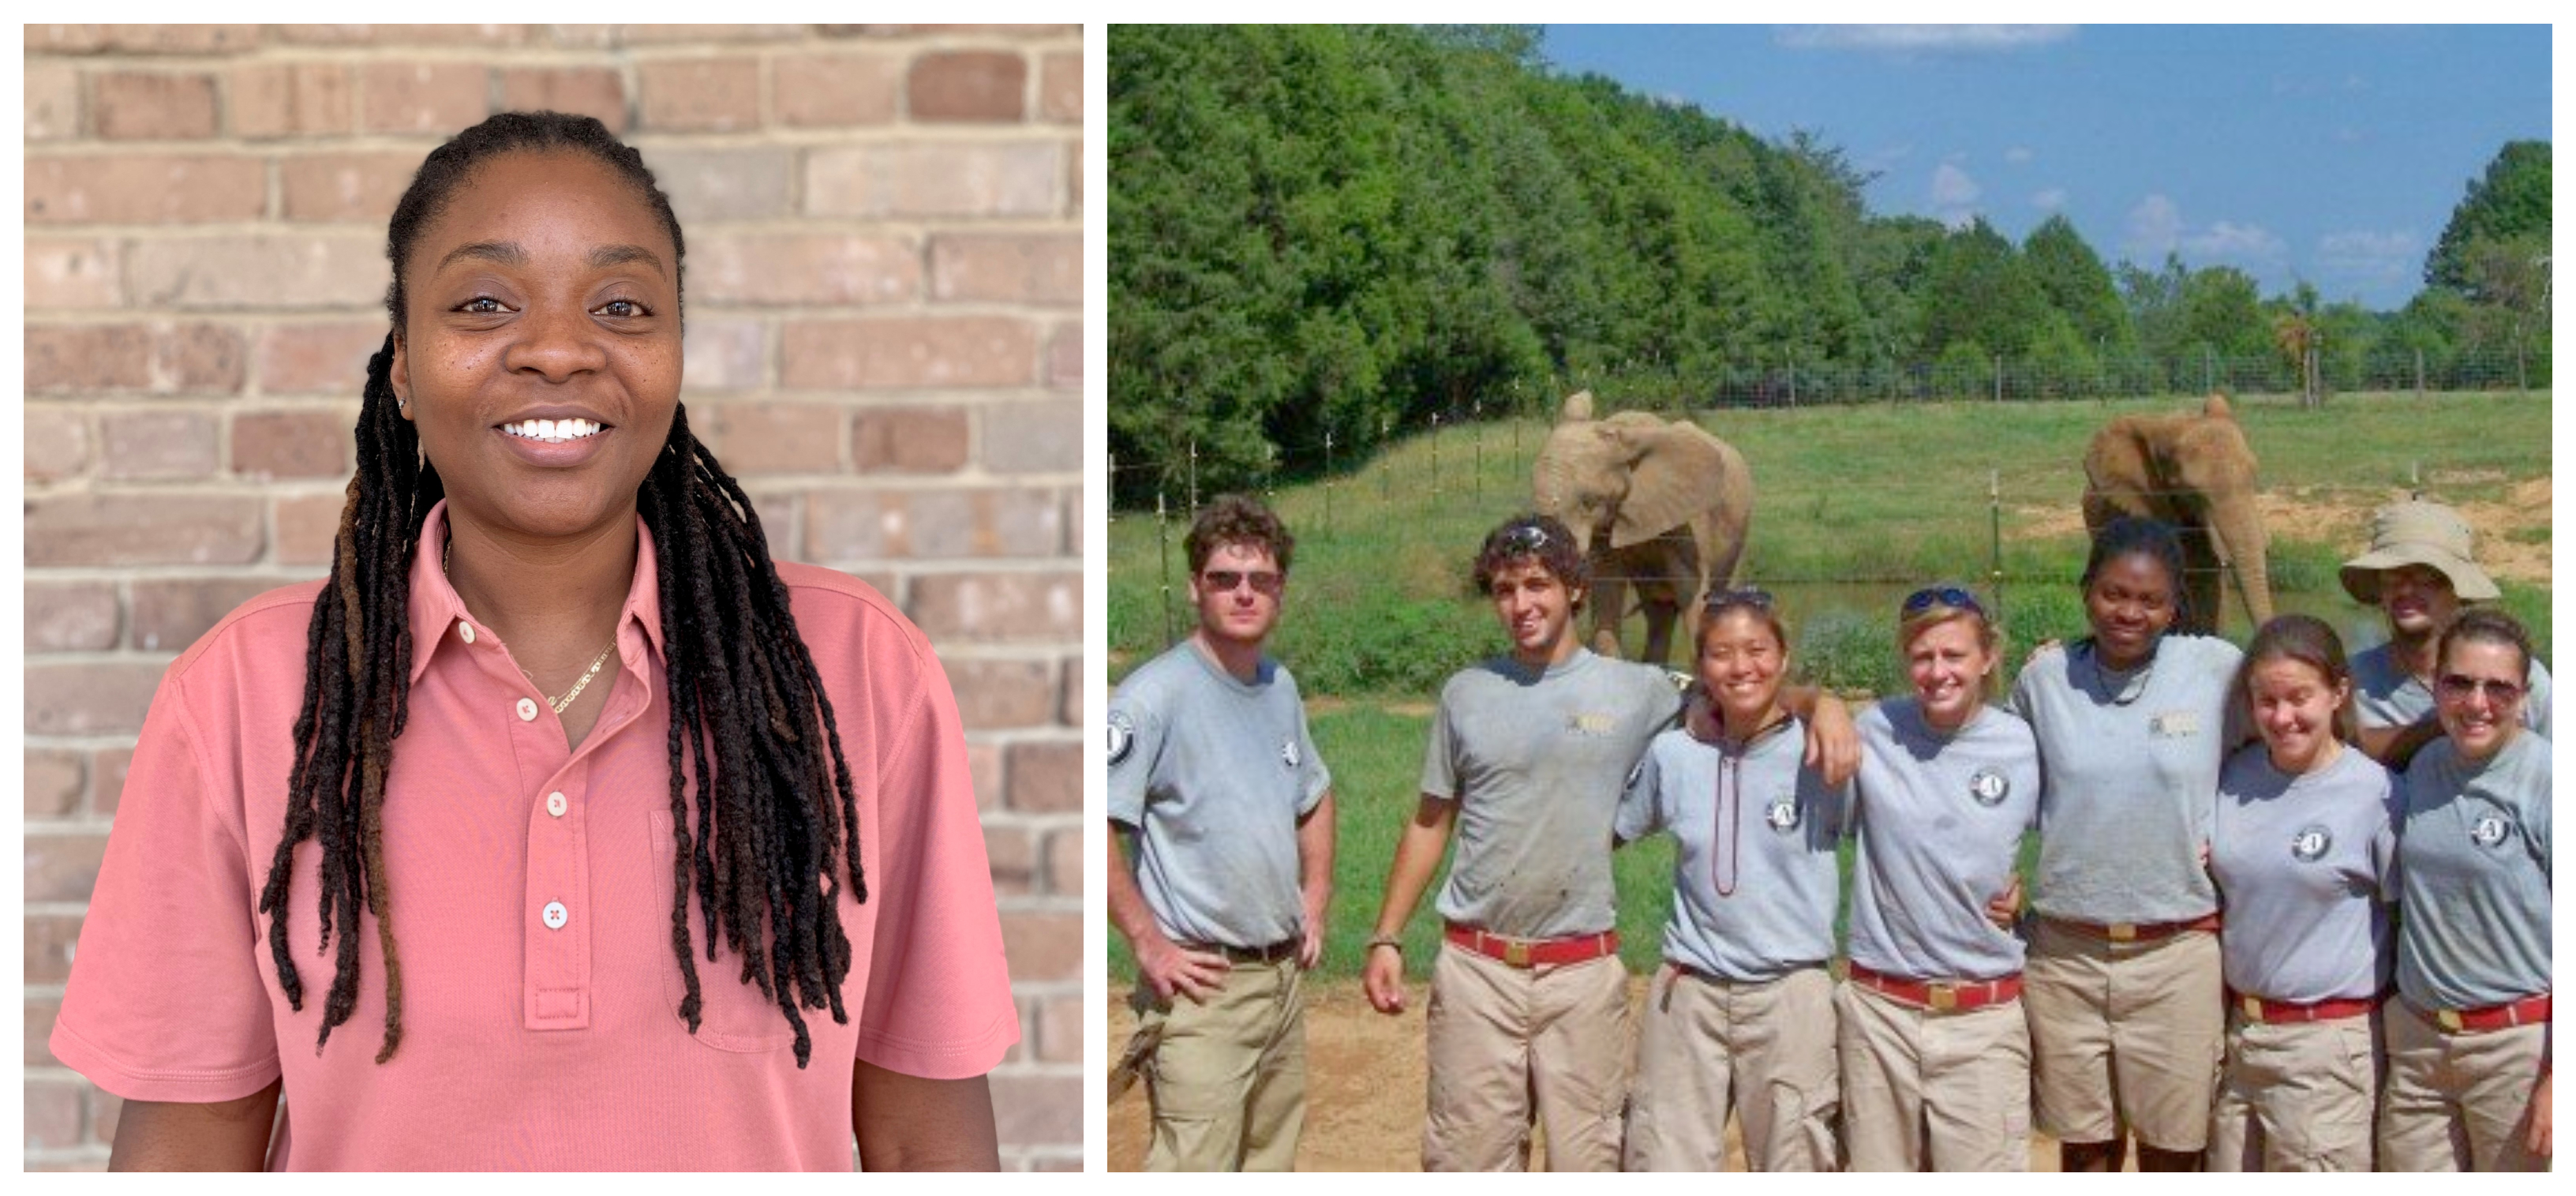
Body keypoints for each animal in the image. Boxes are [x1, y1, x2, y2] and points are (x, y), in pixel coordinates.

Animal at [1535, 394, 1762, 669]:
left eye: (1589, 502)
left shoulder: (1689, 521)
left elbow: (1694, 593)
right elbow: (1607, 590)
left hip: (1739, 532)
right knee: (1659, 615)